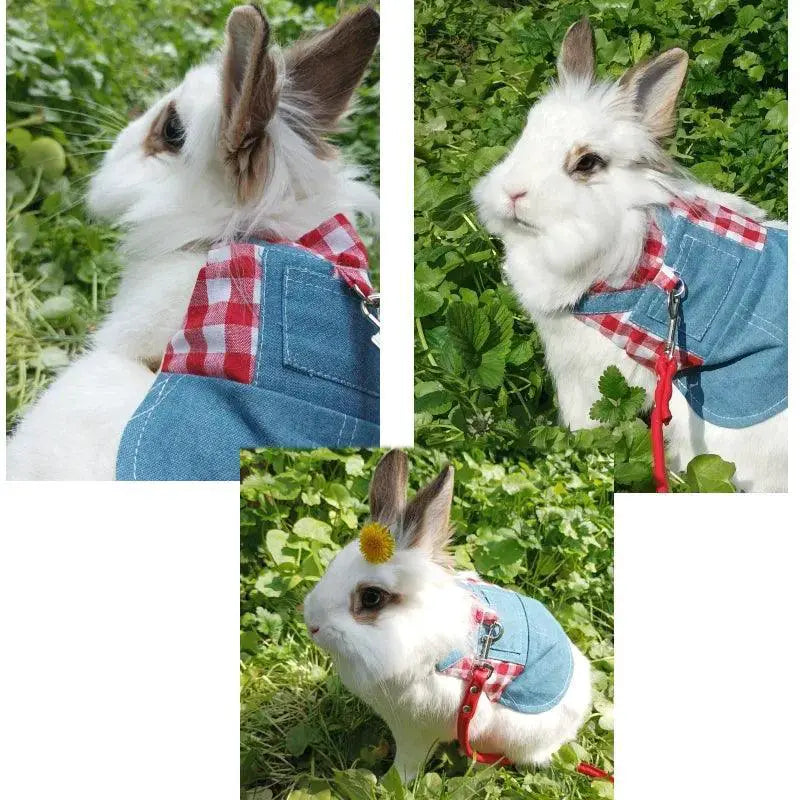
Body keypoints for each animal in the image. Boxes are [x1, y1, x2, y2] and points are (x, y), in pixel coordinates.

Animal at [304, 450, 592, 783]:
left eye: (371, 597)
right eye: (333, 565)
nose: (312, 624)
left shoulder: (417, 729)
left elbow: (408, 764)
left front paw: (390, 784)